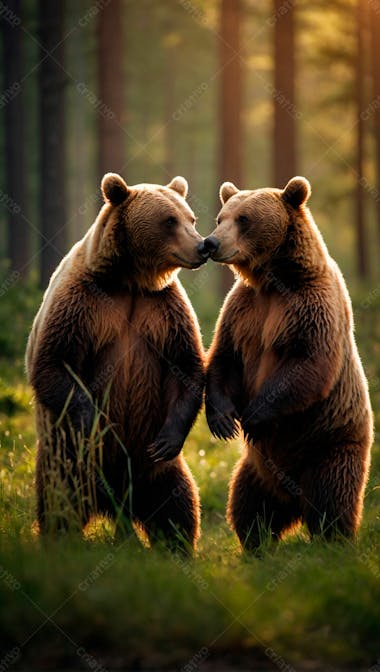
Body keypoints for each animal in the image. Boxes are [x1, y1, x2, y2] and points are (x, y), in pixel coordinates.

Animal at [26, 172, 209, 552]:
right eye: (169, 220)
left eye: (192, 218)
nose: (202, 246)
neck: (130, 280)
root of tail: (115, 504)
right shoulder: (82, 303)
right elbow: (53, 364)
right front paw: (92, 420)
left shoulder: (163, 309)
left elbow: (186, 366)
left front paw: (168, 439)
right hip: (65, 460)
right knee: (58, 502)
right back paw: (58, 541)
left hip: (156, 471)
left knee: (178, 502)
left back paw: (177, 546)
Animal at [203, 176, 372, 548]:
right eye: (221, 217)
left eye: (244, 219)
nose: (211, 243)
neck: (271, 279)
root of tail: (292, 498)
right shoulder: (242, 311)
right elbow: (224, 358)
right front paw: (223, 421)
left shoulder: (309, 305)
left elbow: (308, 363)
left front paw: (252, 417)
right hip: (256, 469)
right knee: (247, 503)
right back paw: (257, 543)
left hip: (331, 444)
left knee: (331, 499)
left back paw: (333, 541)